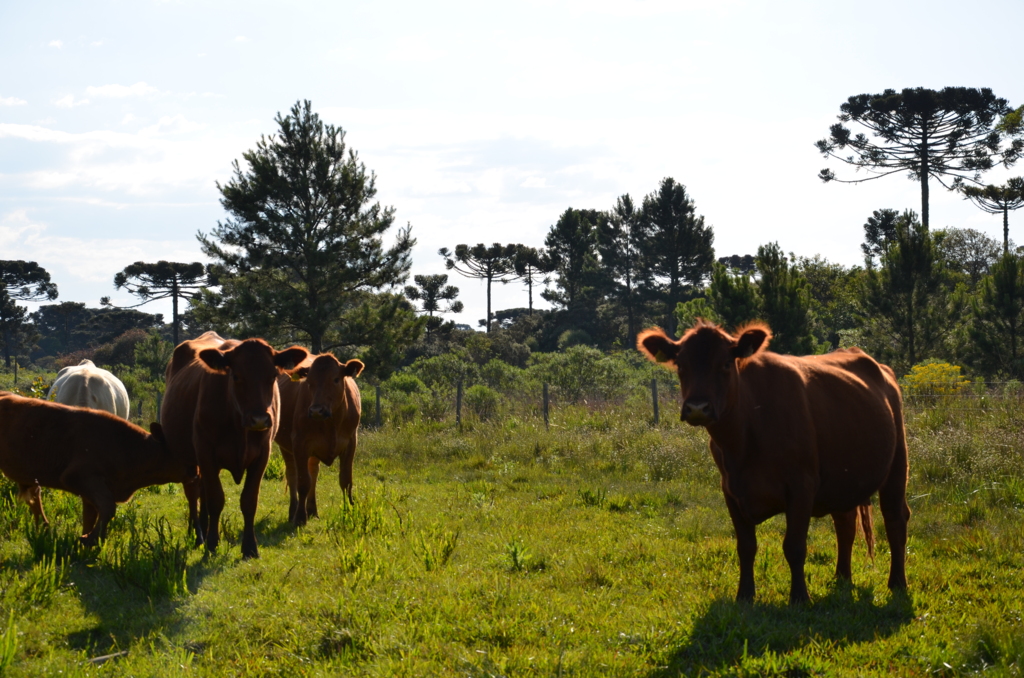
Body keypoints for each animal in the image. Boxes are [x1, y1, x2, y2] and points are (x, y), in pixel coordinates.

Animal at [0, 393, 197, 548]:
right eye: (179, 450)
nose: (195, 472)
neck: (129, 447)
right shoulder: (80, 478)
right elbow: (108, 508)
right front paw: (89, 539)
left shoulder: (91, 491)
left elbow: (92, 515)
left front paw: (88, 539)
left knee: (35, 497)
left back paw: (44, 528)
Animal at [159, 331, 307, 561]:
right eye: (236, 376)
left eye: (273, 376)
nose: (259, 419)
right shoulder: (205, 452)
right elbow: (216, 499)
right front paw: (212, 545)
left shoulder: (262, 455)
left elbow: (249, 501)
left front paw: (250, 547)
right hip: (188, 458)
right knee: (193, 492)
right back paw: (197, 534)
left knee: (201, 491)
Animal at [276, 352, 364, 528]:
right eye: (309, 381)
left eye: (336, 379)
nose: (316, 410)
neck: (331, 422)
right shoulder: (299, 444)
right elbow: (303, 482)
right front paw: (300, 518)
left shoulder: (350, 443)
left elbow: (346, 481)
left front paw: (349, 511)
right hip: (286, 447)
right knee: (292, 475)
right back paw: (294, 511)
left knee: (314, 473)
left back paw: (312, 510)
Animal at [638, 321, 913, 606]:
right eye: (681, 365)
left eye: (725, 363)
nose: (697, 408)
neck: (743, 440)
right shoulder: (730, 490)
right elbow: (746, 546)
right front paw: (744, 595)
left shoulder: (802, 486)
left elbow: (794, 546)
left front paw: (799, 597)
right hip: (843, 479)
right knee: (845, 523)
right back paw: (842, 578)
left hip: (897, 464)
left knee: (895, 518)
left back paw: (897, 583)